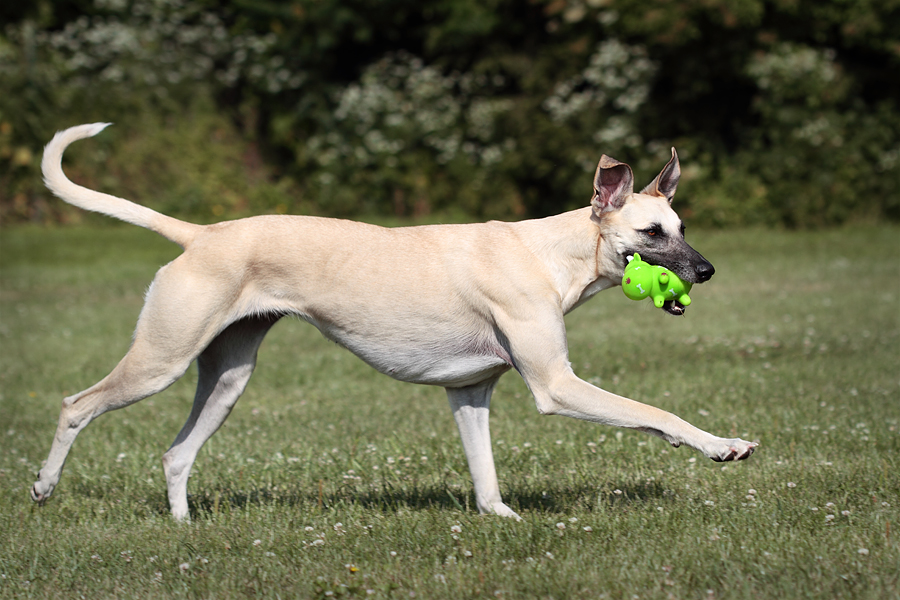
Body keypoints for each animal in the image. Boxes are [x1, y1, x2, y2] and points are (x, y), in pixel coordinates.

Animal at [31, 123, 756, 520]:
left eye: (682, 226)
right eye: (653, 232)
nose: (707, 271)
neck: (549, 252)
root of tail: (202, 235)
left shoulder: (469, 392)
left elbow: (486, 479)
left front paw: (502, 516)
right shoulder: (557, 385)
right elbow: (655, 414)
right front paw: (721, 445)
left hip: (227, 377)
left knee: (176, 454)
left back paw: (184, 527)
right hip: (161, 360)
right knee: (75, 406)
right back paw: (42, 486)